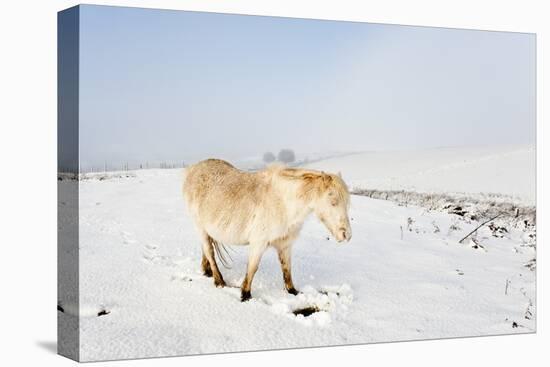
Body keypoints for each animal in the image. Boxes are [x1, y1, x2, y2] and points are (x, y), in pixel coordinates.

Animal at [183, 160, 352, 304]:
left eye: (347, 203)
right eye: (333, 201)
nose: (347, 235)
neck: (283, 203)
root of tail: (193, 169)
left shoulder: (285, 245)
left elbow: (287, 270)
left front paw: (293, 293)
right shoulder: (258, 243)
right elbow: (252, 269)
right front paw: (245, 295)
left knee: (206, 251)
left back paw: (207, 272)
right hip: (200, 227)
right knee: (210, 252)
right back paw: (219, 281)